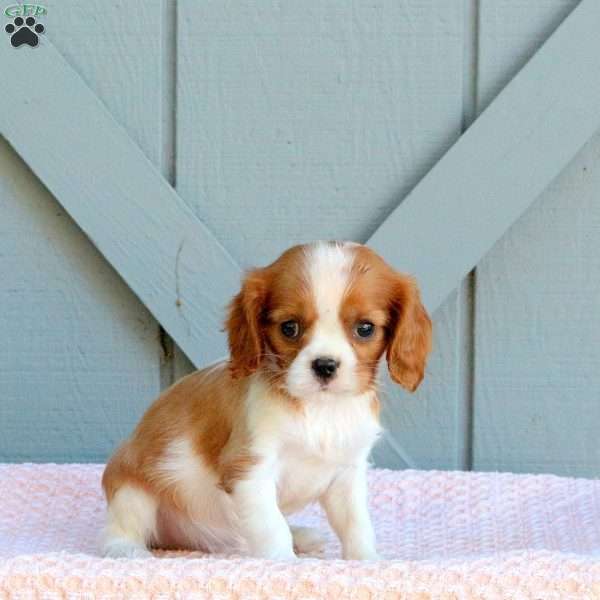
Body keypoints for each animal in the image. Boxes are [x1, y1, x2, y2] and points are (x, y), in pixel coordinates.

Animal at [102, 241, 432, 560]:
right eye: (289, 327)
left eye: (365, 328)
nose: (325, 365)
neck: (320, 409)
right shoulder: (250, 470)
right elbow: (271, 527)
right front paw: (283, 563)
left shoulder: (347, 473)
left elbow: (356, 525)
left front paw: (367, 561)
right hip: (132, 490)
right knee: (122, 526)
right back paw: (125, 549)